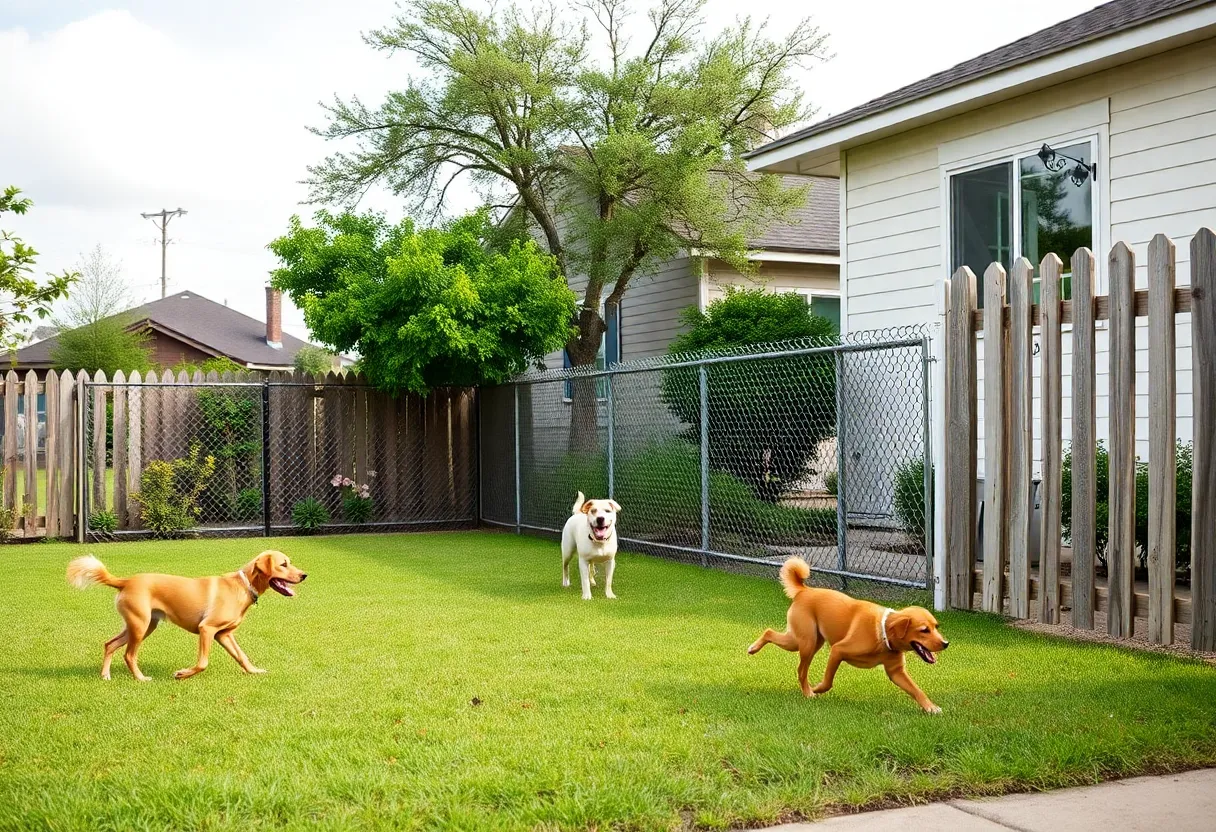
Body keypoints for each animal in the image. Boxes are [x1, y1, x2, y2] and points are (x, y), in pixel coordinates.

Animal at [66, 549, 306, 681]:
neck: (242, 585)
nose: (304, 575)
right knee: (129, 655)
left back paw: (105, 675)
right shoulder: (206, 629)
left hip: (143, 625)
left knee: (110, 644)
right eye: (283, 564)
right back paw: (141, 678)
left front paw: (254, 671)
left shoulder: (224, 635)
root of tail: (125, 581)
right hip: (140, 626)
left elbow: (242, 656)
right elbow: (203, 663)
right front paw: (181, 674)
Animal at [749, 554, 948, 710]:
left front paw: (930, 707)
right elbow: (828, 681)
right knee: (797, 666)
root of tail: (805, 591)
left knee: (772, 635)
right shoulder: (838, 651)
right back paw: (806, 691)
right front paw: (817, 688)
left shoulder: (896, 672)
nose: (946, 643)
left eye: (936, 627)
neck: (882, 632)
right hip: (806, 642)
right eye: (924, 630)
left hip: (811, 642)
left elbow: (916, 689)